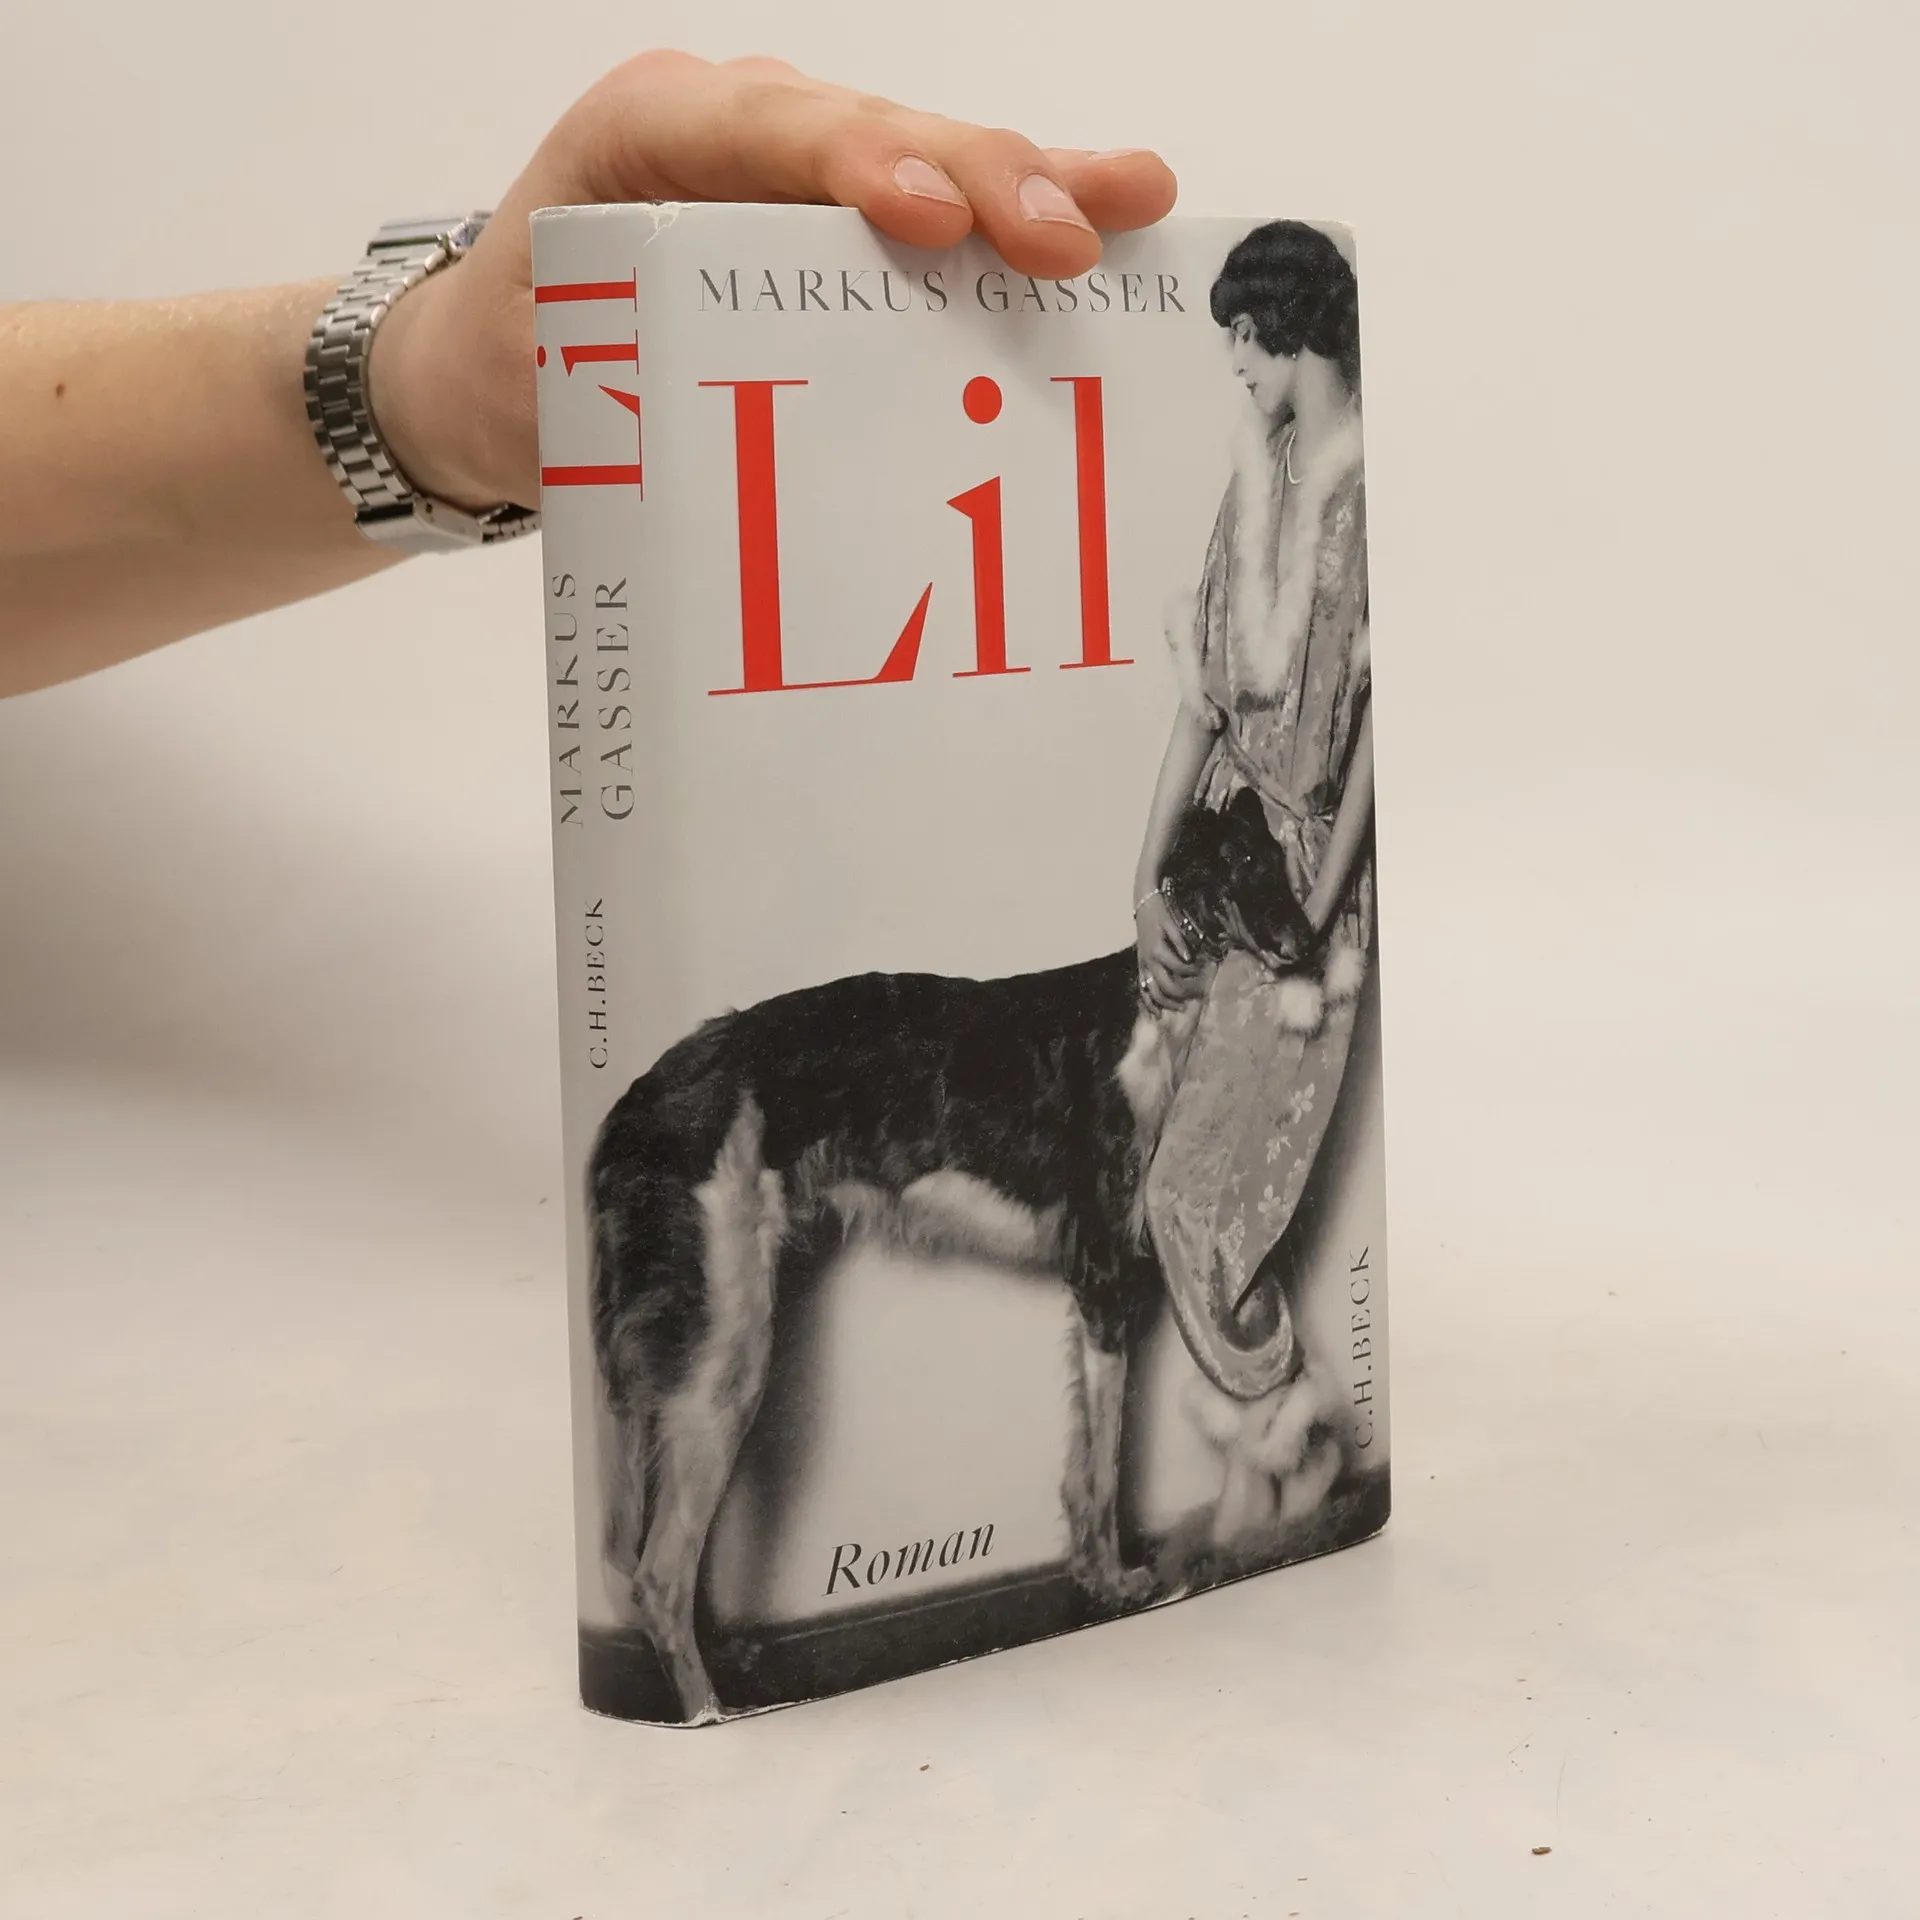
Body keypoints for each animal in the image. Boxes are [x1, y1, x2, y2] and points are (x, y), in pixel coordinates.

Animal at [587, 785, 1313, 1721]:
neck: (1152, 1021)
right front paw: (1119, 1584)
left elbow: (1083, 1467)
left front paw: (1092, 1576)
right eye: (1239, 862)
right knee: (658, 1574)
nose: (1307, 943)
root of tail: (635, 1102)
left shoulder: (1097, 1293)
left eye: (1279, 860)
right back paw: (710, 1710)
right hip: (724, 1355)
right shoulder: (1105, 1282)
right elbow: (1106, 1468)